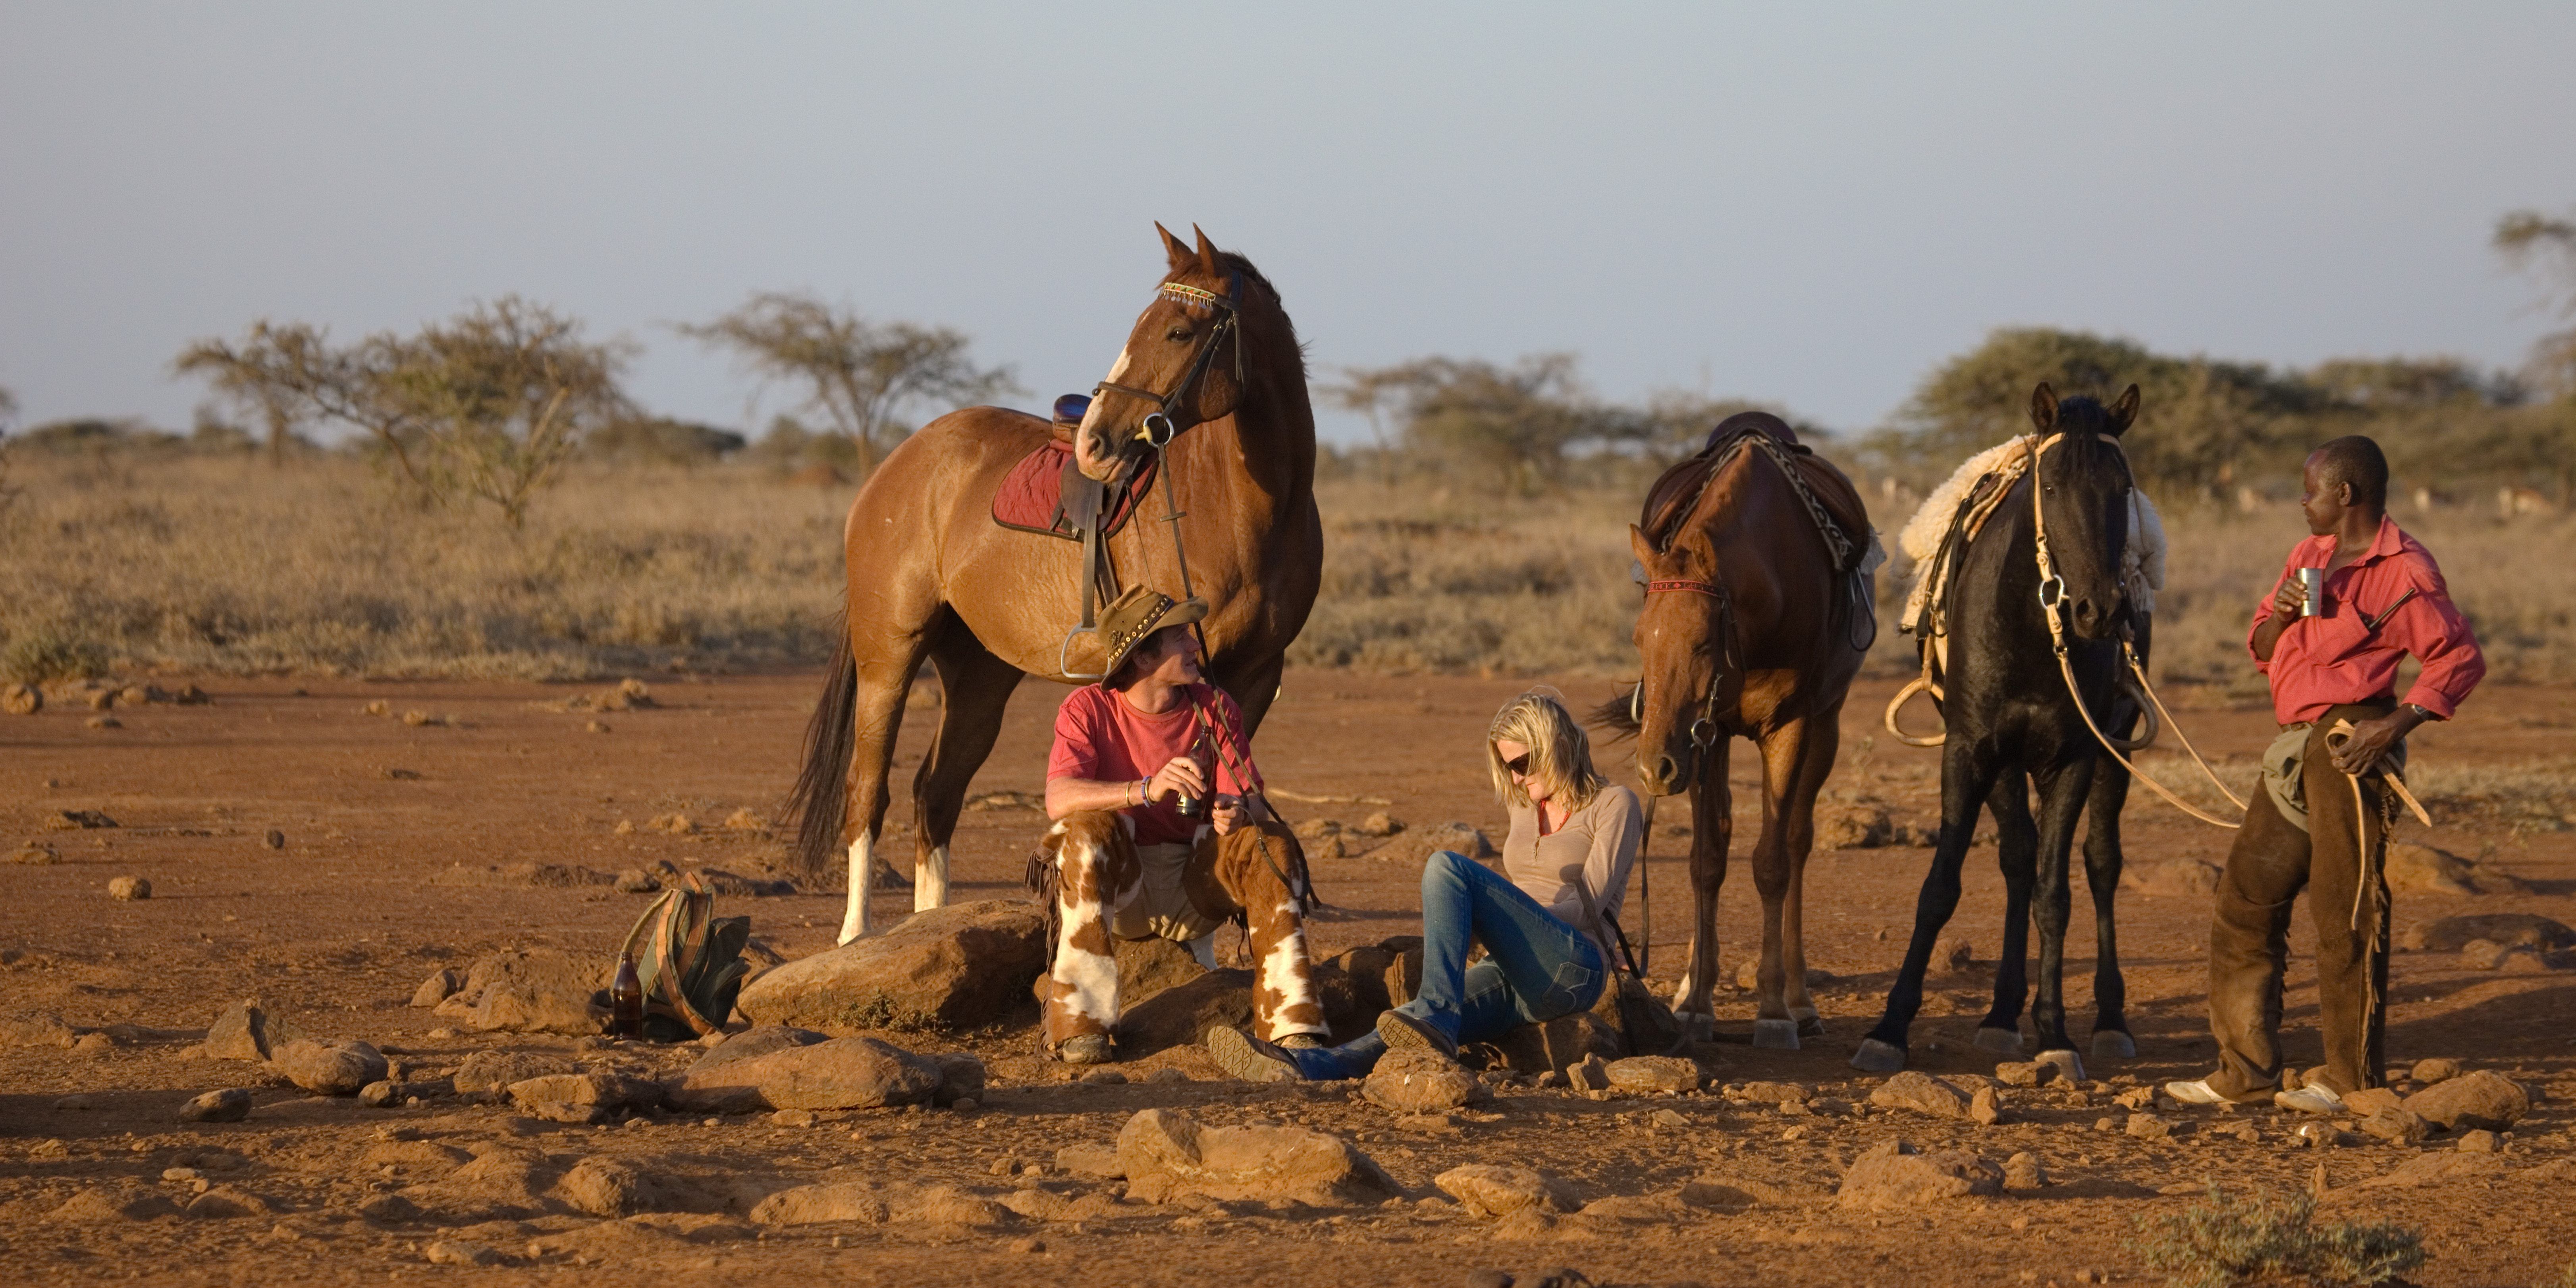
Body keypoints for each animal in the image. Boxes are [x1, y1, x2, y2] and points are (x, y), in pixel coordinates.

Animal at [786, 225, 1322, 943]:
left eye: (1179, 332)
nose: (1096, 441)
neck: (1242, 505)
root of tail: (898, 465)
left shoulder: (1258, 673)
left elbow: (1224, 798)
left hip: (979, 674)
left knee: (937, 792)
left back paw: (934, 925)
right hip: (888, 656)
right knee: (868, 790)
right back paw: (855, 934)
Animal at [1596, 412, 1875, 1050]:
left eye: (1702, 642)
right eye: (1639, 638)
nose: (1653, 766)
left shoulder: (1790, 724)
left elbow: (1772, 862)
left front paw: (1772, 1011)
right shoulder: (1708, 733)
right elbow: (1706, 859)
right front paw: (1696, 1002)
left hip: (1826, 725)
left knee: (1797, 842)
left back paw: (1800, 1001)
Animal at [1851, 383, 2148, 1076]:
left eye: (2122, 486)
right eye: (2053, 486)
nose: (2101, 610)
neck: (2032, 630)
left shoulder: (2075, 757)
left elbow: (2056, 893)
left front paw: (2058, 1033)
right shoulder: (1971, 752)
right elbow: (1942, 887)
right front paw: (1889, 1029)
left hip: (2112, 751)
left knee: (2100, 863)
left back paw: (2109, 1019)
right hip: (2008, 761)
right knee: (2017, 856)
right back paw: (2000, 1014)